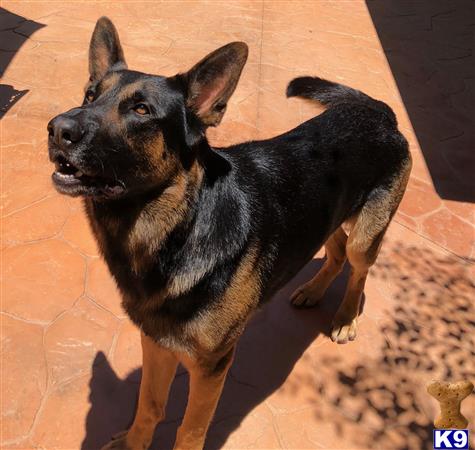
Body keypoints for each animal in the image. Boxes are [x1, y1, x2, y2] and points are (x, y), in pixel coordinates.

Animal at [47, 17, 412, 450]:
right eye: (89, 96)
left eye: (141, 110)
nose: (57, 130)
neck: (181, 227)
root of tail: (377, 111)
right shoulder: (157, 343)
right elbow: (149, 406)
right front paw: (134, 443)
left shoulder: (210, 366)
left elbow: (190, 430)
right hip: (329, 217)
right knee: (335, 252)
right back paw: (313, 291)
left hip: (365, 236)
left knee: (357, 269)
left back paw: (345, 316)